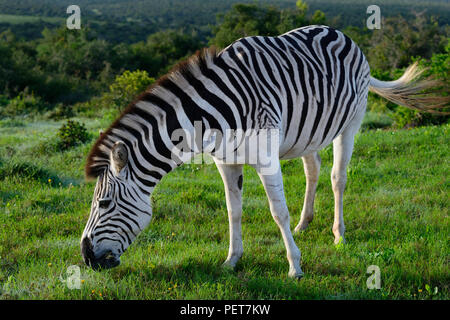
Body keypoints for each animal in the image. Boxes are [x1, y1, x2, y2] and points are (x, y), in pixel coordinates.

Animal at [81, 25, 446, 278]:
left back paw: (338, 235)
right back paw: (304, 223)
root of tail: (340, 33)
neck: (211, 117)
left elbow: (277, 211)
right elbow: (233, 211)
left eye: (105, 203)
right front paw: (231, 260)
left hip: (351, 122)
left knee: (337, 178)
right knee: (313, 169)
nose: (86, 258)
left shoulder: (267, 157)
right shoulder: (226, 162)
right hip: (308, 132)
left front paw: (295, 267)